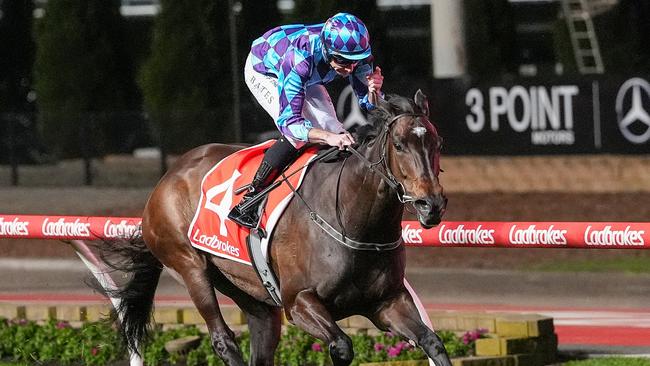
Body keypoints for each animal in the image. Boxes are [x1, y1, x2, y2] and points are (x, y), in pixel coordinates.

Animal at [107, 90, 450, 364]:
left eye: (438, 142)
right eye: (399, 144)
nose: (430, 204)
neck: (355, 222)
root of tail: (166, 178)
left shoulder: (386, 302)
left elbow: (432, 341)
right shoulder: (298, 302)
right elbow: (341, 345)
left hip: (250, 292)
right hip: (189, 266)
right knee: (223, 338)